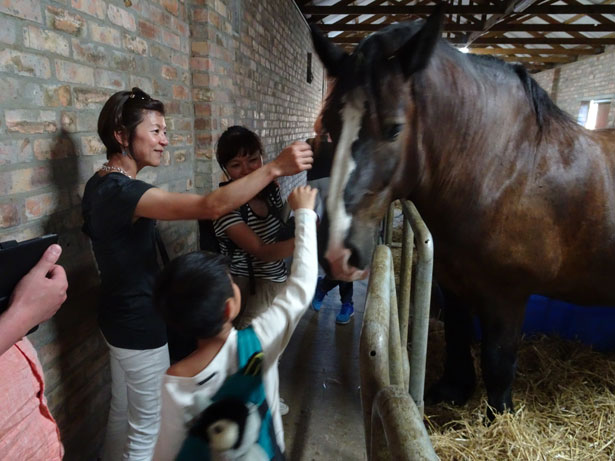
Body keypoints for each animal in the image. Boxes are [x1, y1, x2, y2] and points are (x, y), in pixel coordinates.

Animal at [310, 9, 615, 414]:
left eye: (394, 129)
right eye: (330, 126)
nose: (335, 252)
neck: (503, 170)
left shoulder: (507, 296)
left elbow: (498, 362)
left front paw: (498, 416)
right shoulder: (452, 282)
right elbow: (457, 336)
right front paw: (453, 390)